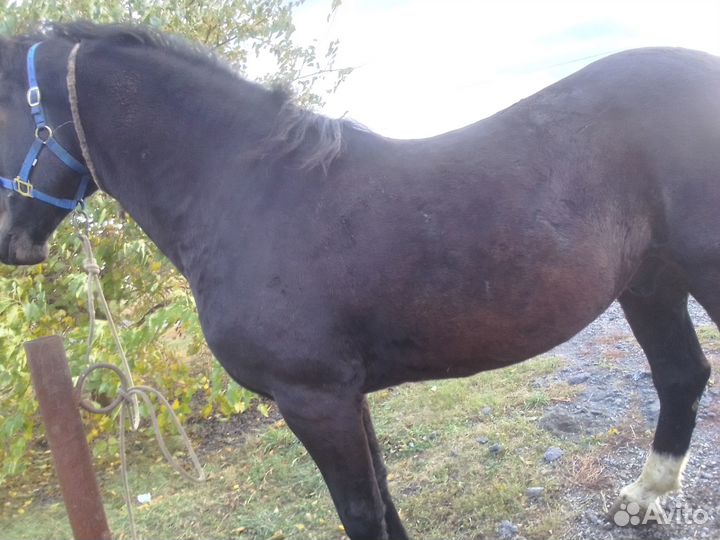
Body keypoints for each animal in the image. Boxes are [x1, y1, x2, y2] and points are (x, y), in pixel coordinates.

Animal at [0, 21, 717, 539]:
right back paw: (643, 500)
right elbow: (383, 499)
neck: (246, 194)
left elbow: (359, 512)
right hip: (649, 281)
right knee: (681, 374)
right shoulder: (347, 395)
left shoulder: (313, 399)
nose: (12, 241)